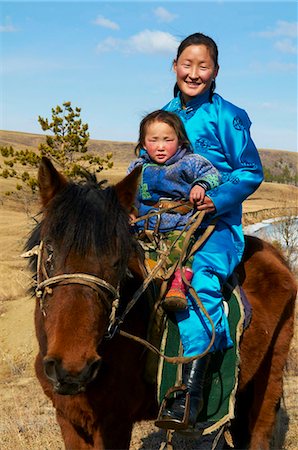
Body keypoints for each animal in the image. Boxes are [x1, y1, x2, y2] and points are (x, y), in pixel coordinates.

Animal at [26, 156, 296, 450]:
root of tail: (274, 253)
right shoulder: (69, 419)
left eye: (117, 261)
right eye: (50, 251)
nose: (73, 368)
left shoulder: (113, 423)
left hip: (270, 374)